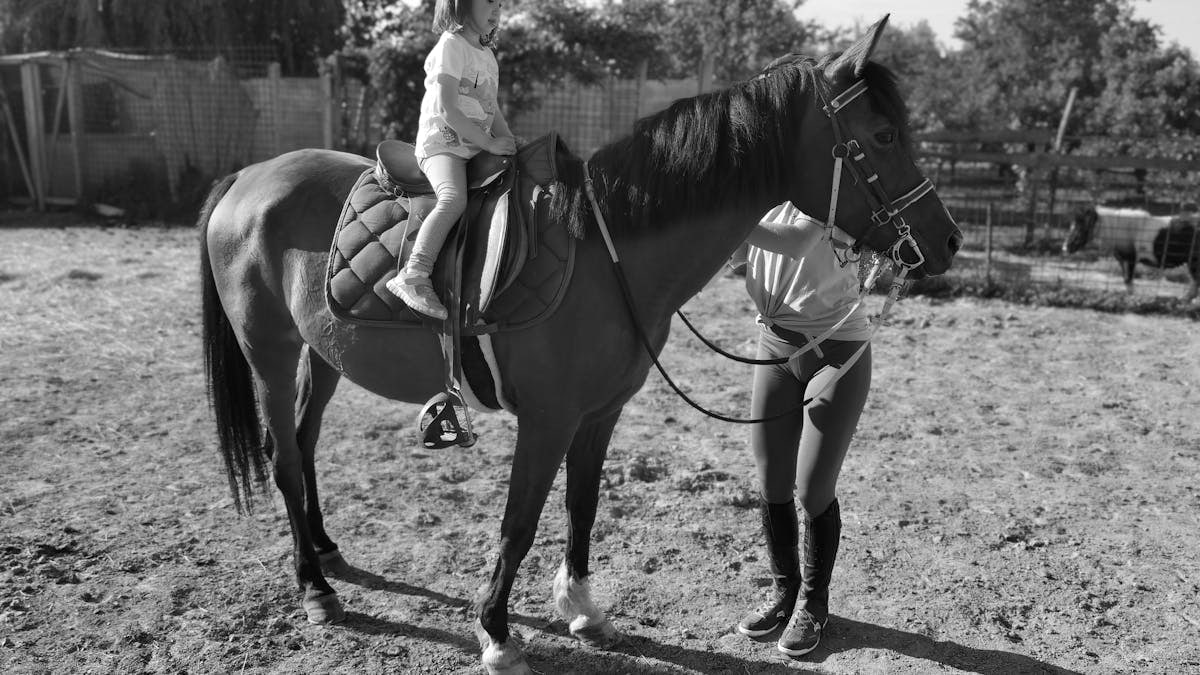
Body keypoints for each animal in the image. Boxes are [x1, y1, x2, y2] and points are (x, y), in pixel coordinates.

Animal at [199, 17, 960, 674]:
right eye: (884, 134)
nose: (947, 240)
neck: (607, 248)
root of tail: (248, 177)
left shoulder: (599, 414)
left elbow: (581, 507)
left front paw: (583, 610)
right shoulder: (547, 420)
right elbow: (519, 522)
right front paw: (497, 634)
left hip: (322, 352)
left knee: (303, 443)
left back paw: (328, 554)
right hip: (269, 352)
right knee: (282, 458)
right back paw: (315, 589)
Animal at [1064, 201, 1200, 301]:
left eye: (1083, 226)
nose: (1065, 247)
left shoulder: (1130, 259)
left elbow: (1128, 279)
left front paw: (1131, 298)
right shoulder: (1122, 259)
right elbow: (1125, 279)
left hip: (1193, 262)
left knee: (1195, 282)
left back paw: (1182, 299)